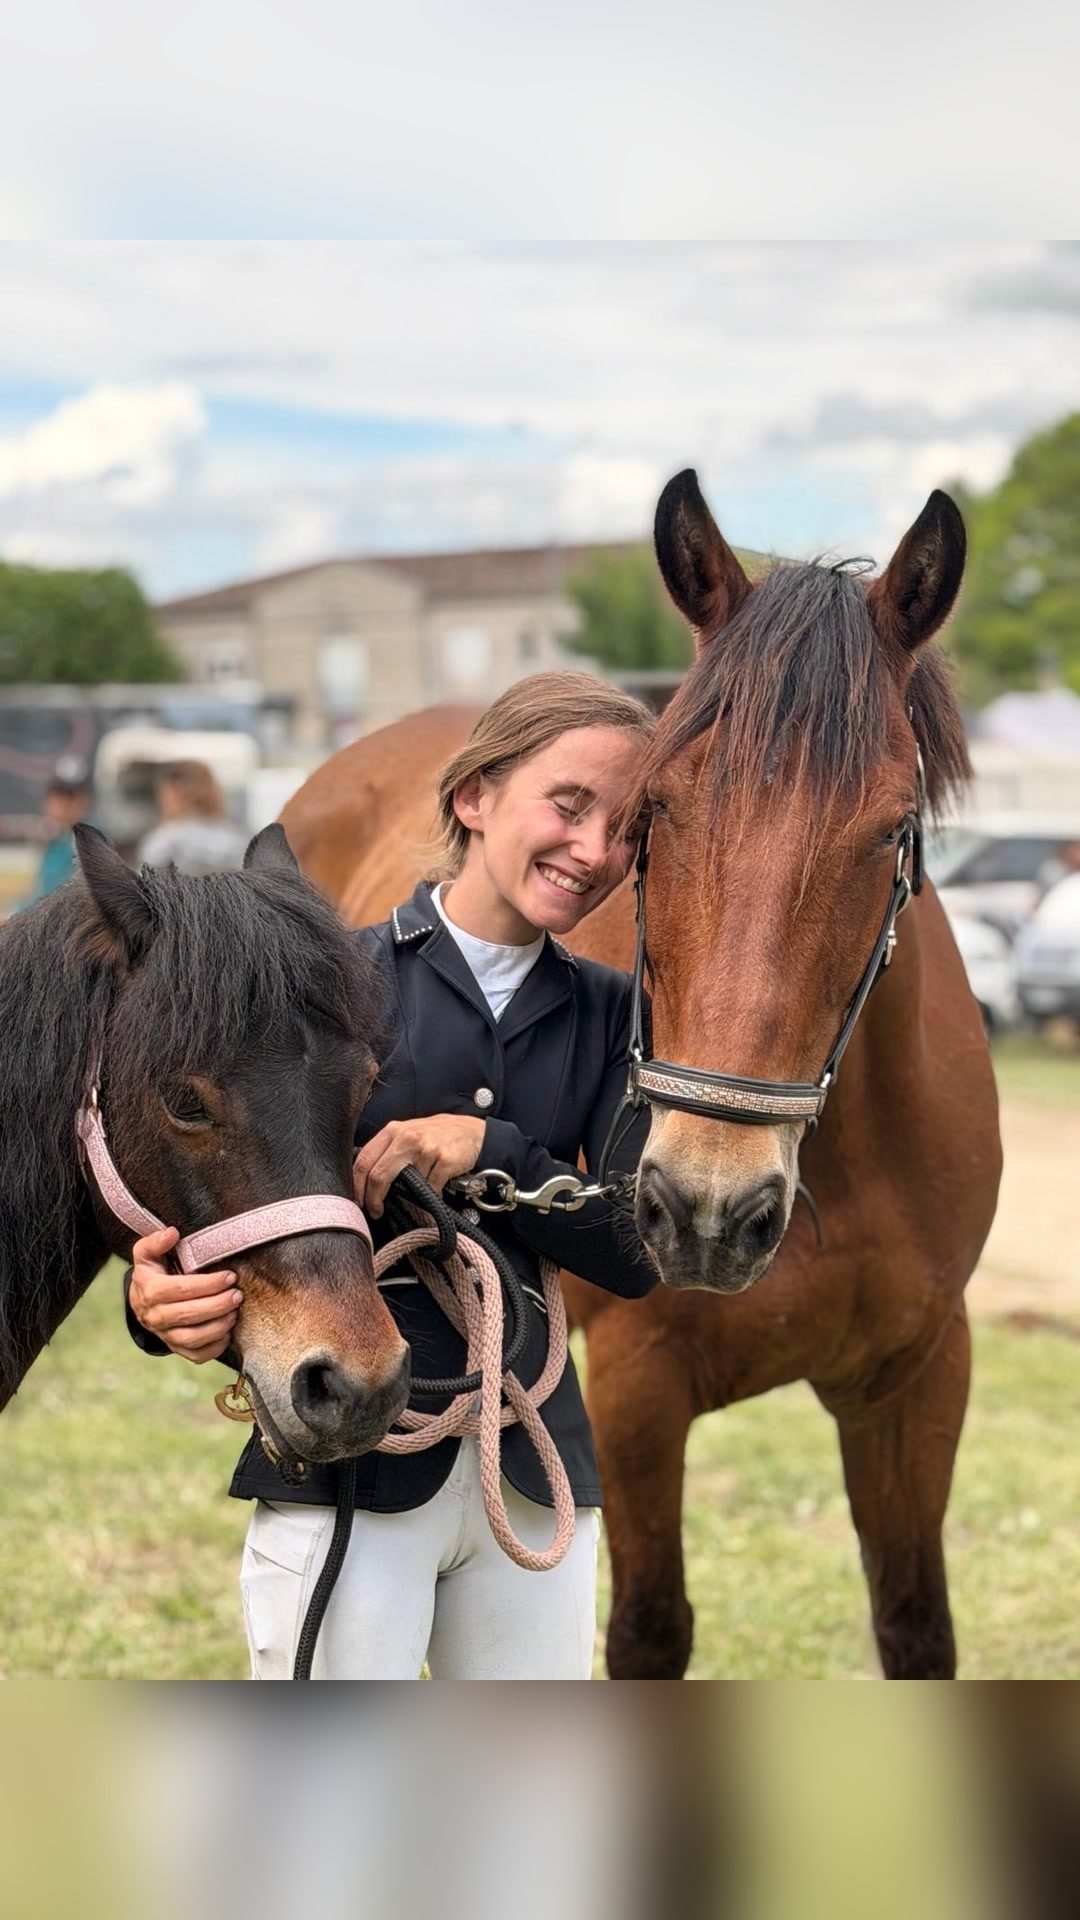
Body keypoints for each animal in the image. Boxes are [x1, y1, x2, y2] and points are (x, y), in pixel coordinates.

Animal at [281, 474, 1002, 1679]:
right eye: (655, 808)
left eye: (894, 827)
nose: (709, 1211)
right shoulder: (637, 1393)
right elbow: (650, 1631)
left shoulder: (917, 1380)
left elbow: (917, 1628)